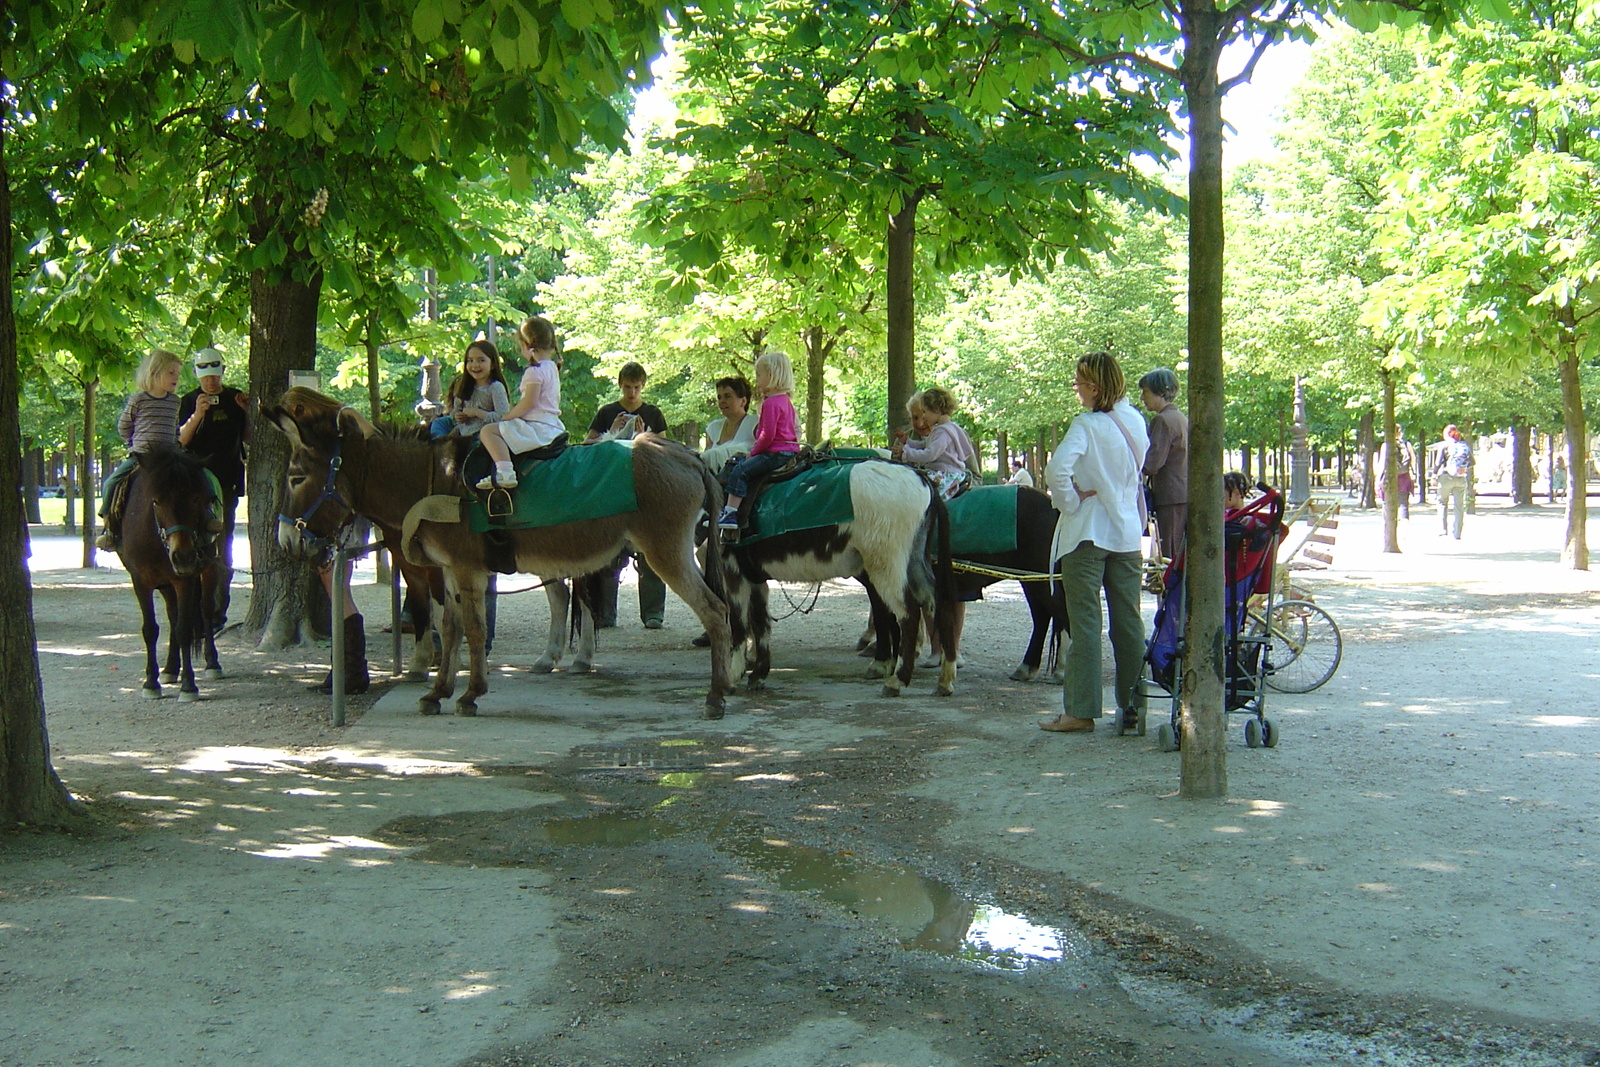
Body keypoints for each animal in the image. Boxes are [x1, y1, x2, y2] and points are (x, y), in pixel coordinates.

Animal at [268, 388, 736, 723]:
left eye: (295, 478)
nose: (286, 542)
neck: (432, 482)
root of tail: (684, 453)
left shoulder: (465, 569)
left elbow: (474, 630)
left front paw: (470, 694)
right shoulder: (450, 572)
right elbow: (451, 629)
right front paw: (438, 692)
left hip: (665, 552)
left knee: (715, 611)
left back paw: (715, 696)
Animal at [729, 460, 960, 697]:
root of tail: (920, 477)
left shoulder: (733, 572)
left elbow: (738, 624)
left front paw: (732, 676)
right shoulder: (755, 578)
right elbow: (759, 623)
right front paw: (757, 674)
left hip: (887, 565)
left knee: (908, 612)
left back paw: (897, 681)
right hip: (913, 561)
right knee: (938, 603)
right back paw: (945, 679)